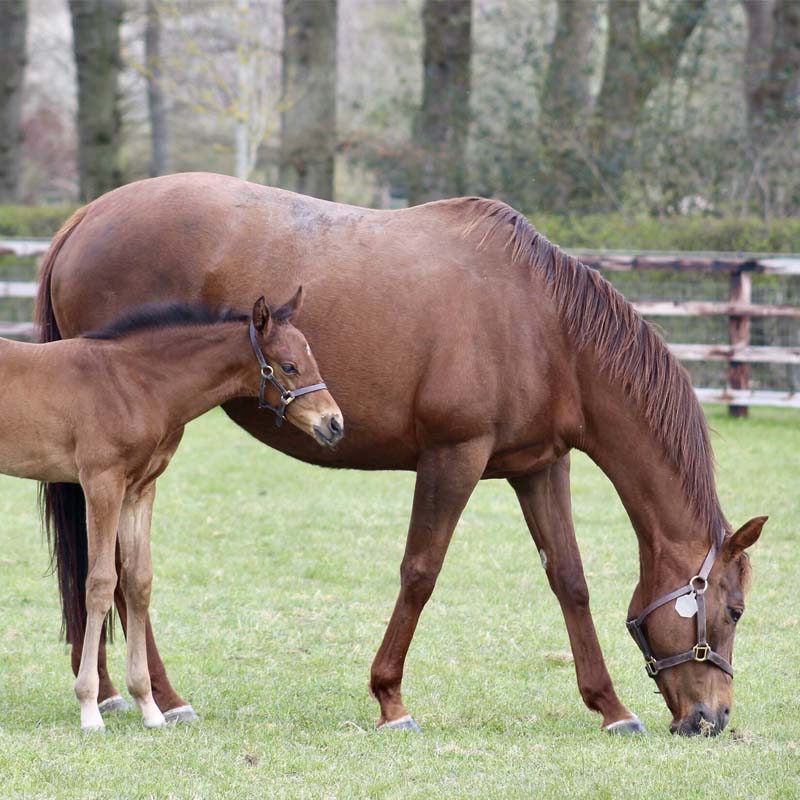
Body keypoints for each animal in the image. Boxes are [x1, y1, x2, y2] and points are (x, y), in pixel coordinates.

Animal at [3, 296, 342, 732]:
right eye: (288, 366)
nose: (334, 424)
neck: (133, 384)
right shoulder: (101, 483)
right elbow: (100, 583)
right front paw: (90, 707)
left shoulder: (139, 490)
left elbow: (138, 582)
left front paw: (150, 707)